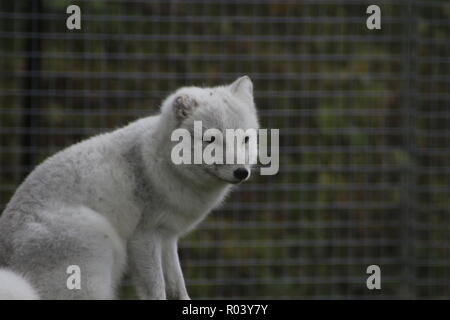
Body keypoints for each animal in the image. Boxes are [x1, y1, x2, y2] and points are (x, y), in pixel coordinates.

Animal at [0, 76, 260, 298]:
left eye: (245, 139)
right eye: (211, 140)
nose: (241, 172)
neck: (163, 161)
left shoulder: (168, 235)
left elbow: (177, 285)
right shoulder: (144, 237)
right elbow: (157, 289)